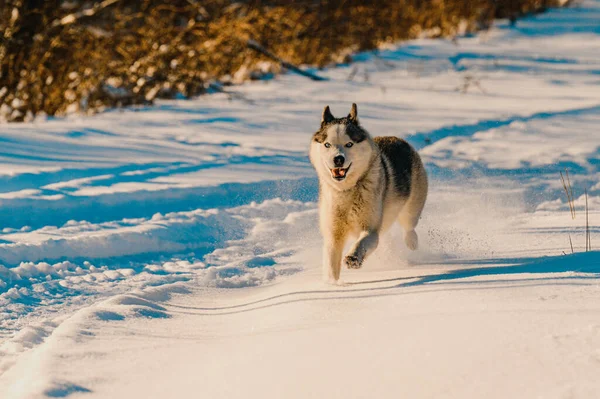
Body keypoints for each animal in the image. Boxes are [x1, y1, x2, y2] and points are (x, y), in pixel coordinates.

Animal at [310, 104, 426, 282]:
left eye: (349, 144)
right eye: (327, 144)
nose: (338, 159)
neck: (347, 190)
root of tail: (399, 140)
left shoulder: (371, 230)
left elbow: (362, 242)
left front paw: (353, 257)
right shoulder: (333, 234)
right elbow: (331, 262)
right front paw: (331, 284)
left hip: (412, 207)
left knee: (409, 226)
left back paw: (411, 241)